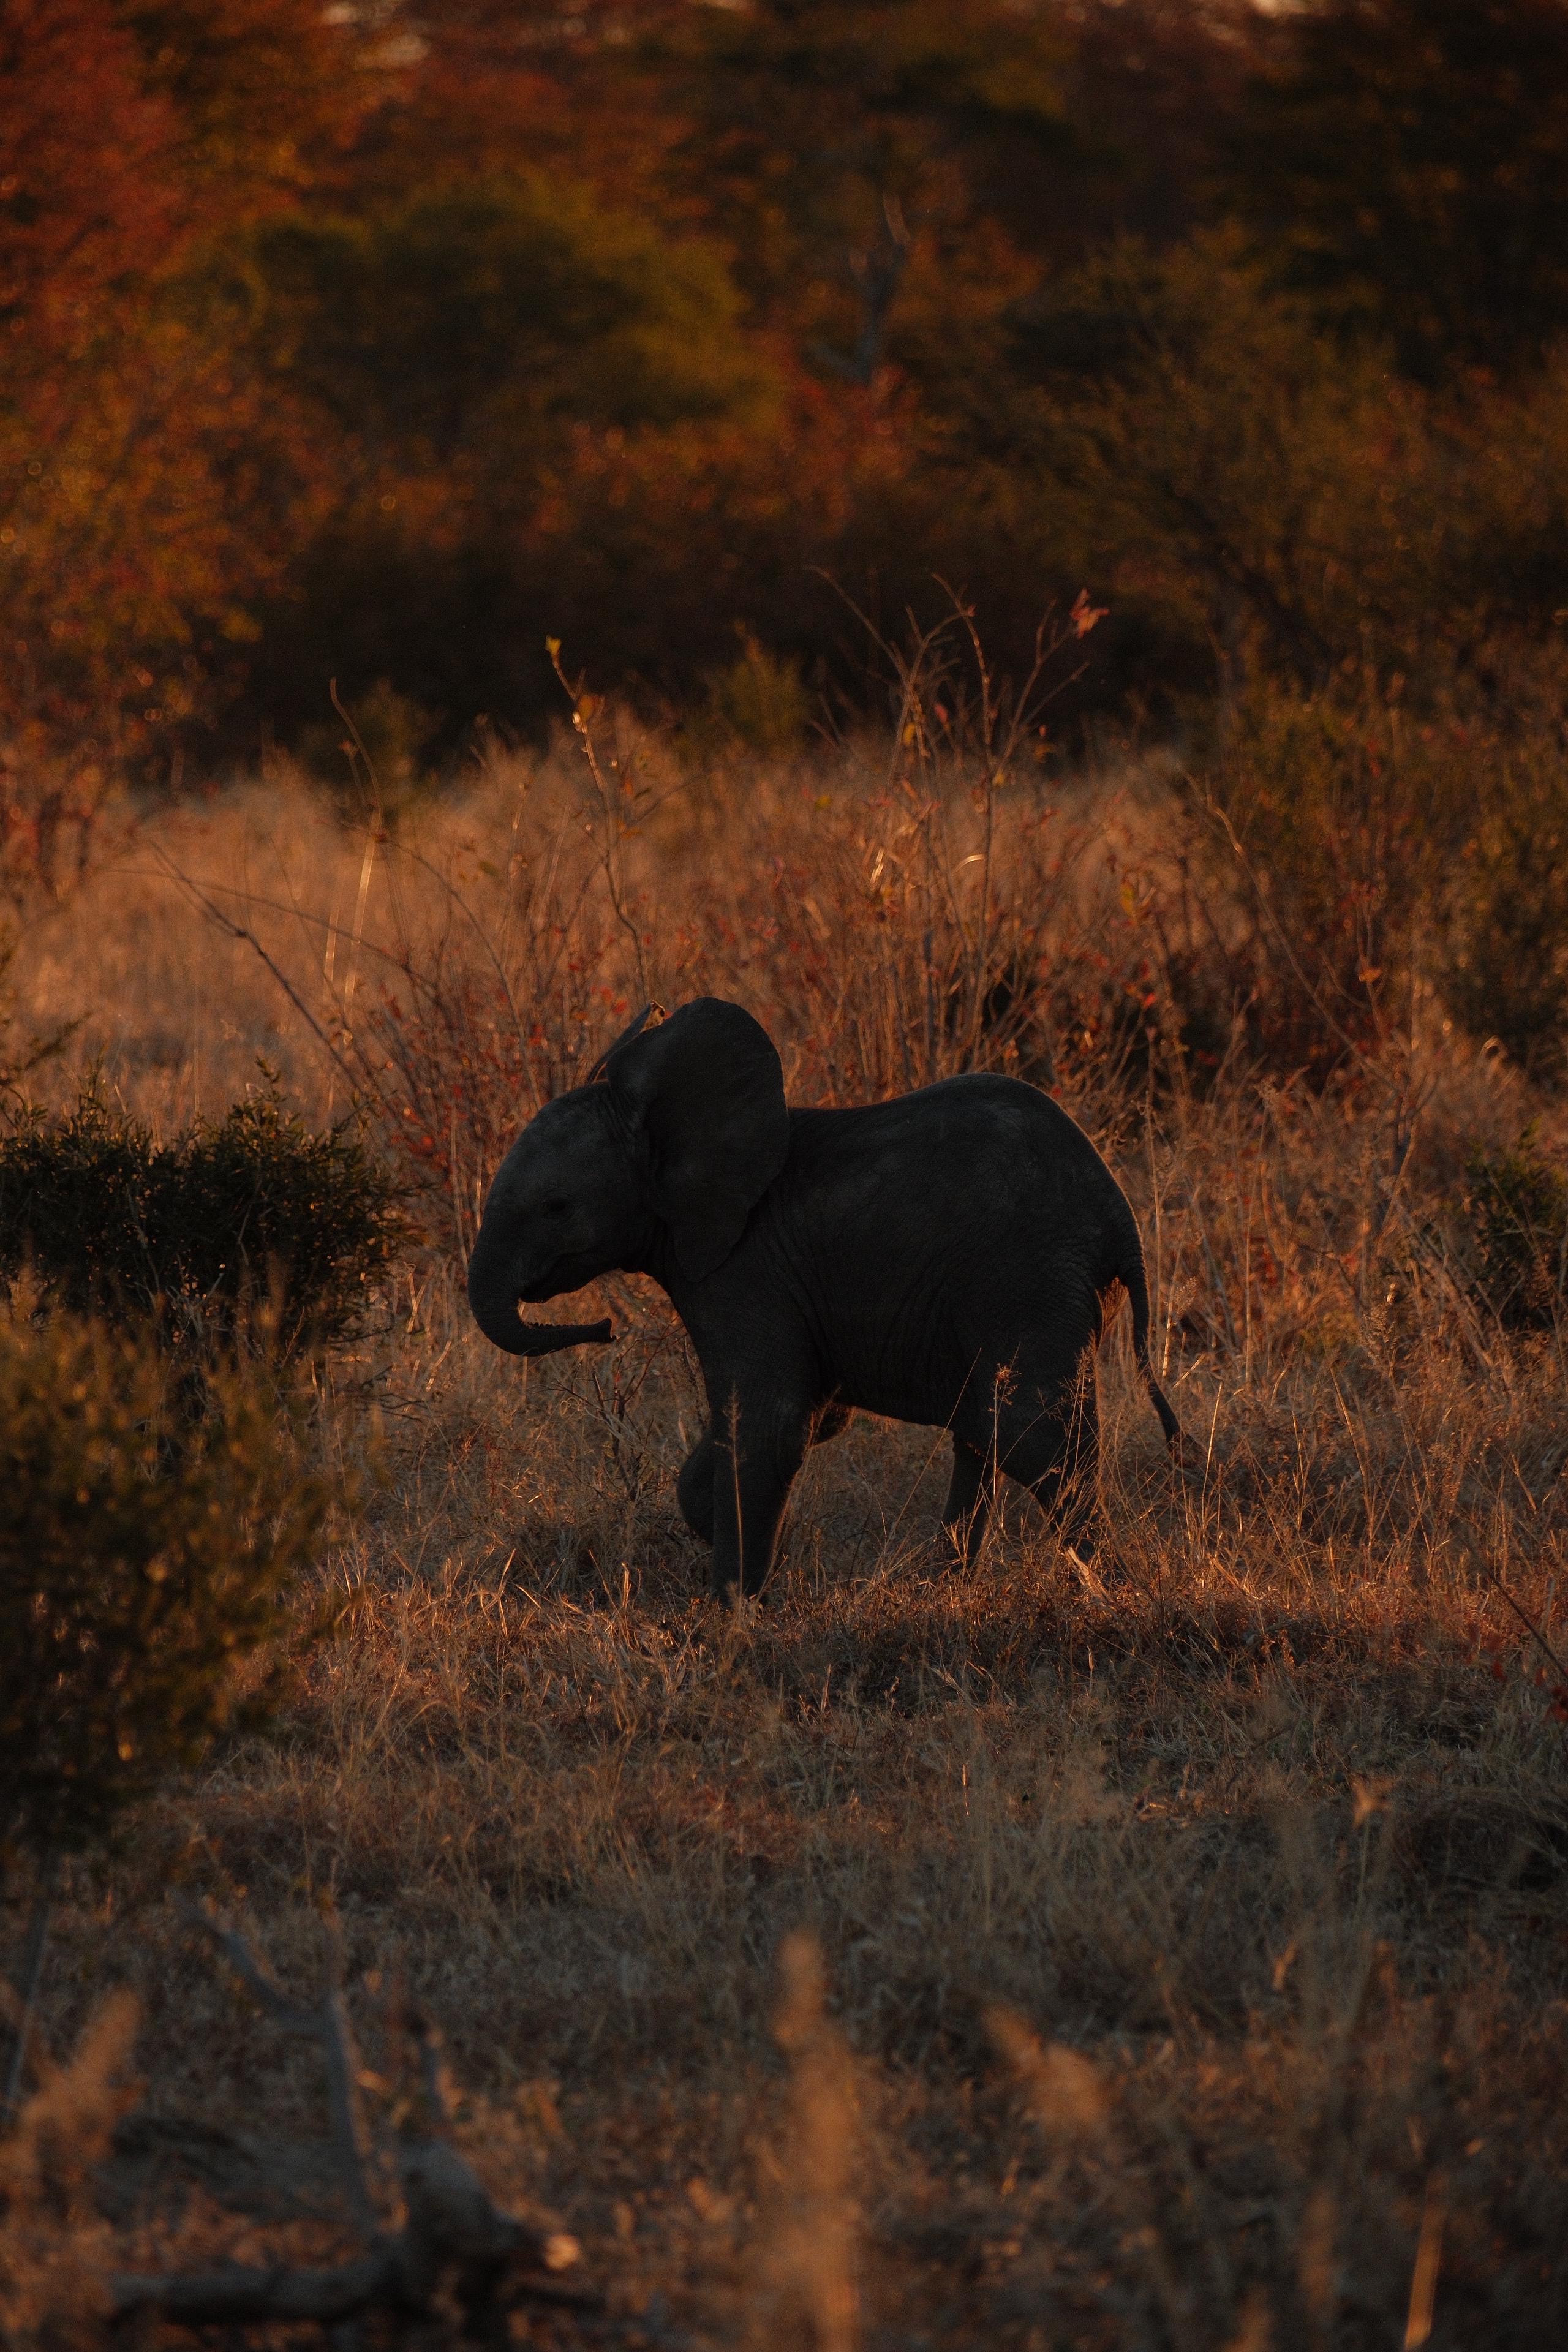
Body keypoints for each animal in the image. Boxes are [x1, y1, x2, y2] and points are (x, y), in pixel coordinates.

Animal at [467, 995, 1186, 1597]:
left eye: (556, 1208)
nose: (605, 1329)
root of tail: (1117, 1214)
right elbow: (797, 1421)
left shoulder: (745, 1272)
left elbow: (771, 1424)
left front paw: (729, 1613)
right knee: (984, 1432)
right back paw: (946, 1588)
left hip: (1026, 1277)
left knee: (1033, 1439)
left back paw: (1117, 1592)